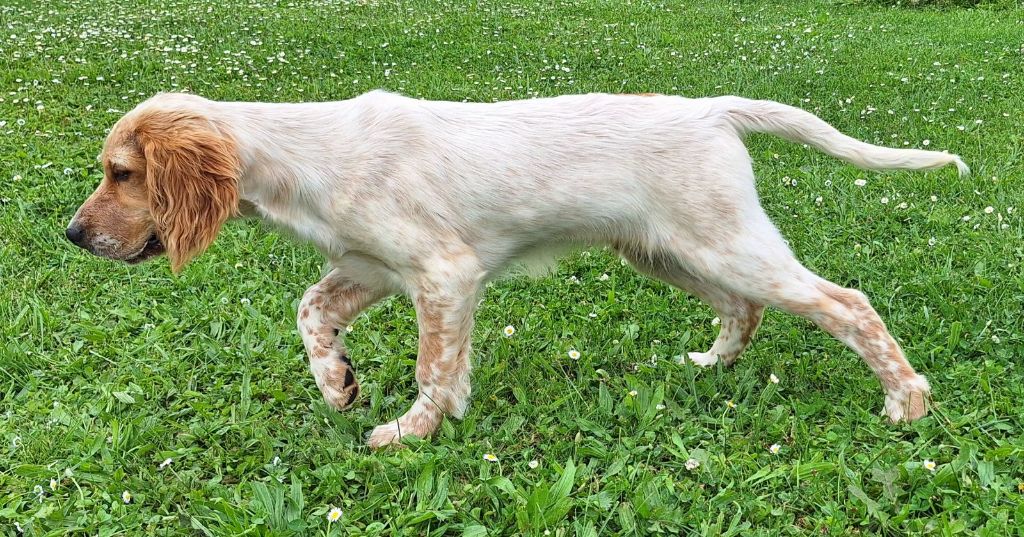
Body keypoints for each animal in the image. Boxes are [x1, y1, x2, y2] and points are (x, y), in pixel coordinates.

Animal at [68, 90, 962, 446]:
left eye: (121, 172)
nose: (73, 234)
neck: (306, 155)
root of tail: (713, 108)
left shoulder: (444, 272)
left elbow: (434, 367)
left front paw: (411, 431)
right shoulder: (372, 266)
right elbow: (310, 310)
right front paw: (338, 383)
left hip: (725, 243)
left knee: (847, 301)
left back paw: (907, 401)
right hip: (667, 250)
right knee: (744, 309)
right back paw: (711, 363)